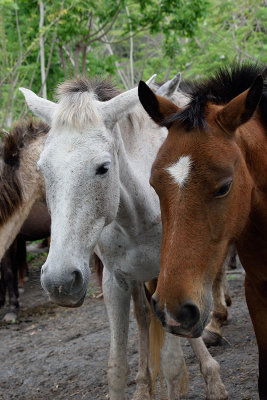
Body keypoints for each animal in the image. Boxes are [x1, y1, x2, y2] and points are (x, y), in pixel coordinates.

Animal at [21, 76, 228, 400]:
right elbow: (116, 368)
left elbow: (172, 365)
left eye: (103, 167)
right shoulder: (115, 281)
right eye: (41, 169)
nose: (60, 281)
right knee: (144, 316)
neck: (136, 218)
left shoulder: (168, 277)